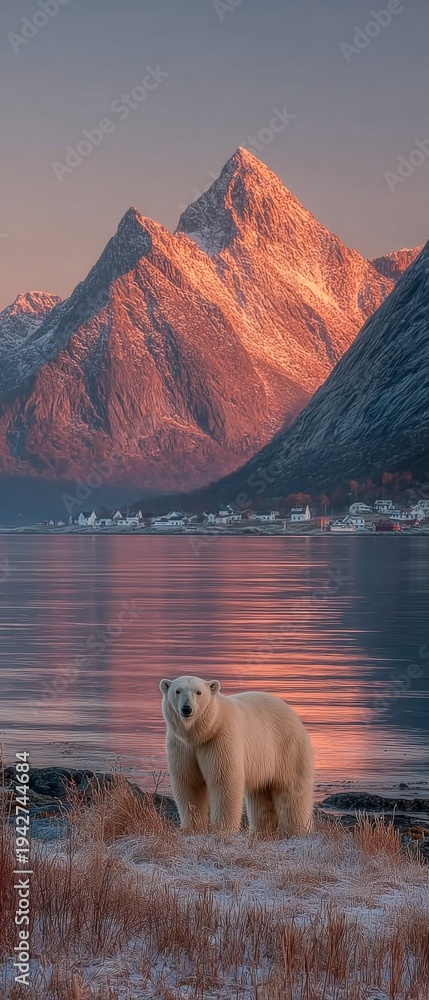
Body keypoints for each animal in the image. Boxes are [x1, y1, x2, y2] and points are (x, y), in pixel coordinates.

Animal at [160, 675, 314, 836]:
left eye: (198, 692)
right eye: (177, 691)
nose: (186, 709)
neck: (203, 733)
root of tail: (292, 713)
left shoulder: (219, 739)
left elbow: (223, 779)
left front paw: (222, 829)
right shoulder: (182, 746)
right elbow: (188, 781)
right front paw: (191, 828)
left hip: (287, 747)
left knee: (291, 790)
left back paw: (297, 830)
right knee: (260, 795)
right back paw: (260, 832)